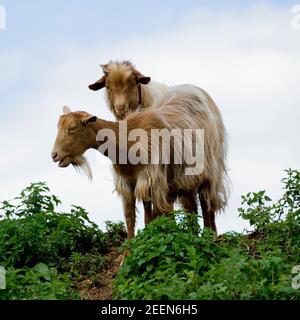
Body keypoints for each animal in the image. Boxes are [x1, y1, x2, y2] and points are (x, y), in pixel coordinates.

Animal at [52, 85, 229, 238]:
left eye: (73, 128)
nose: (54, 155)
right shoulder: (127, 184)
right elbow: (130, 217)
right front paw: (129, 246)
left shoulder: (150, 181)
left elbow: (152, 216)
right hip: (184, 180)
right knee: (191, 208)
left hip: (209, 171)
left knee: (206, 203)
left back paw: (210, 235)